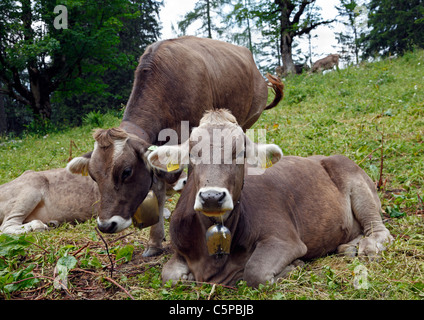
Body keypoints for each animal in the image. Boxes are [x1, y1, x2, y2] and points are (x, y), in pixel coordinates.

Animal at [66, 35, 284, 258]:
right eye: (93, 176)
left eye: (126, 172)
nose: (106, 225)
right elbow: (159, 188)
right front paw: (155, 241)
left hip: (248, 119)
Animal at [148, 109, 394, 288]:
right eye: (192, 153)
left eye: (241, 153)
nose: (212, 197)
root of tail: (327, 157)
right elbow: (168, 275)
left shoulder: (285, 239)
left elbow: (254, 272)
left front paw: (294, 266)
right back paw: (349, 247)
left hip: (356, 182)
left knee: (379, 229)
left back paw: (368, 246)